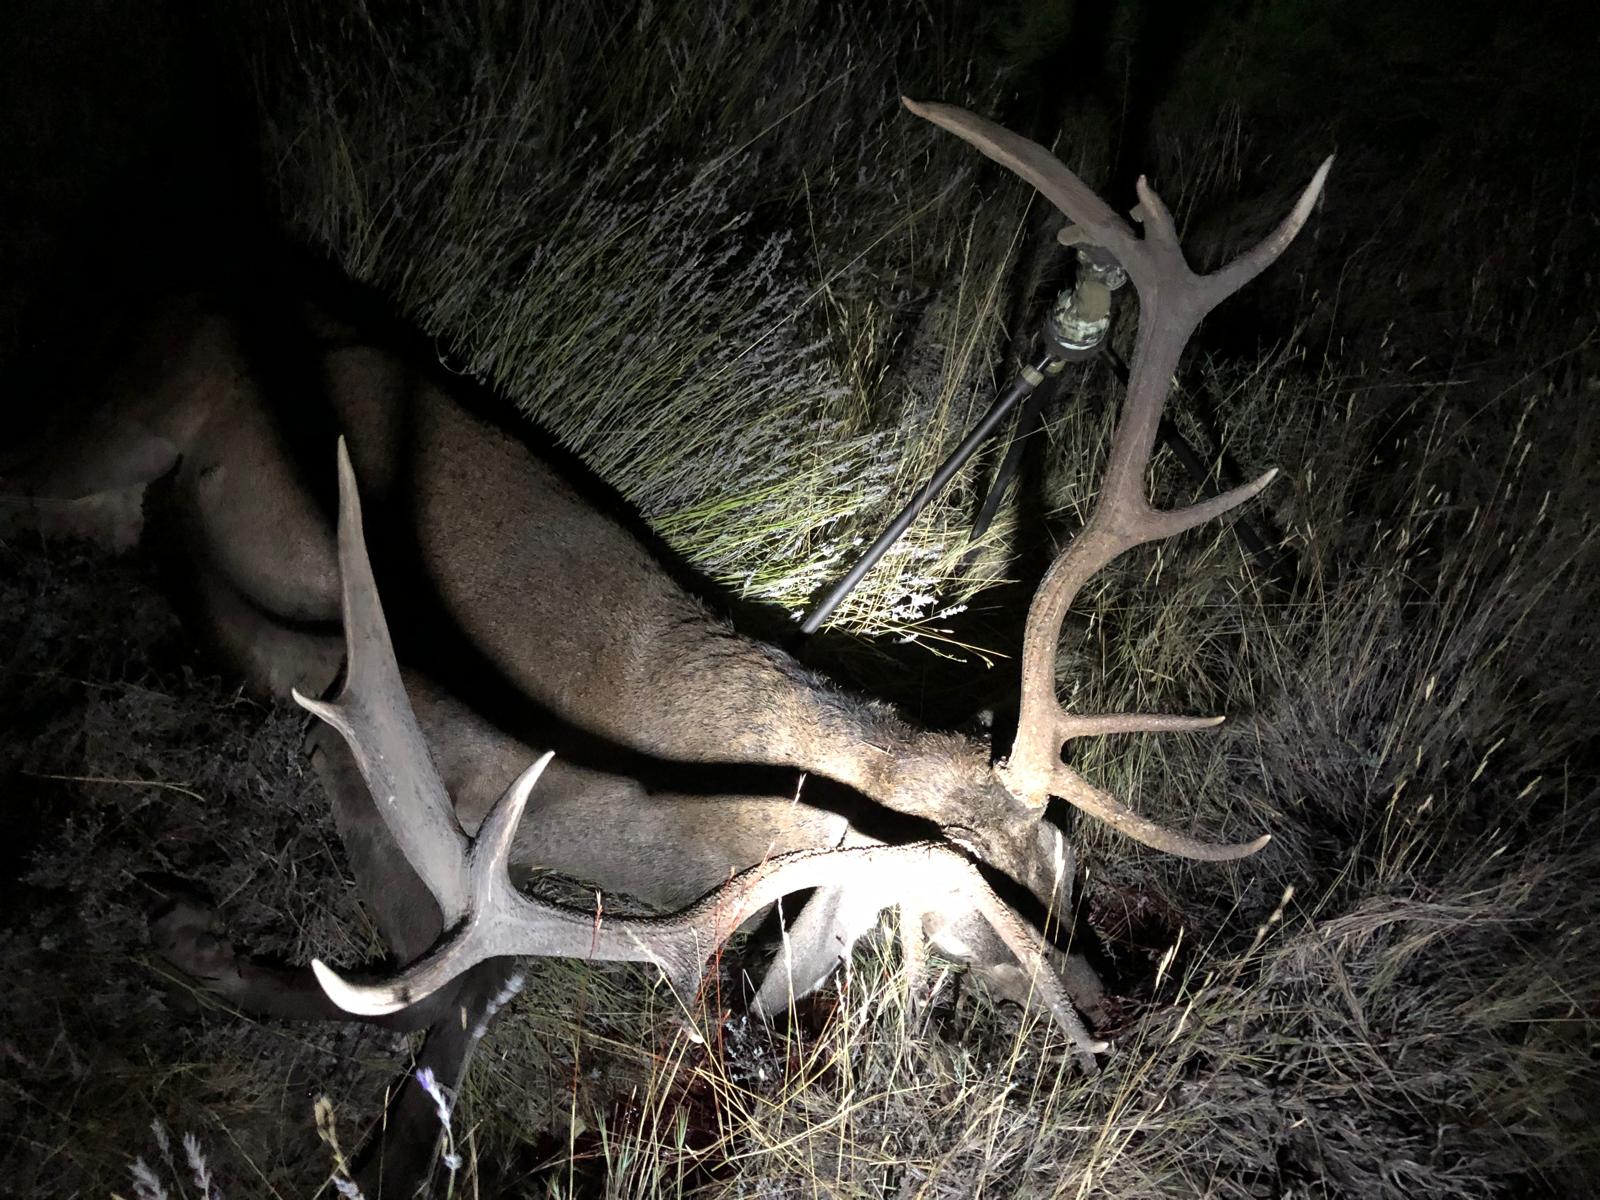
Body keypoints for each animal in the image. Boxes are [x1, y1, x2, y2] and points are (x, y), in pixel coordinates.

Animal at [2, 97, 1328, 1196]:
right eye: (962, 935)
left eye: (1061, 868)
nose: (1113, 1013)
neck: (658, 821)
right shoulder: (368, 740)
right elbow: (426, 992)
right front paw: (193, 944)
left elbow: (464, 997)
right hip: (105, 432)